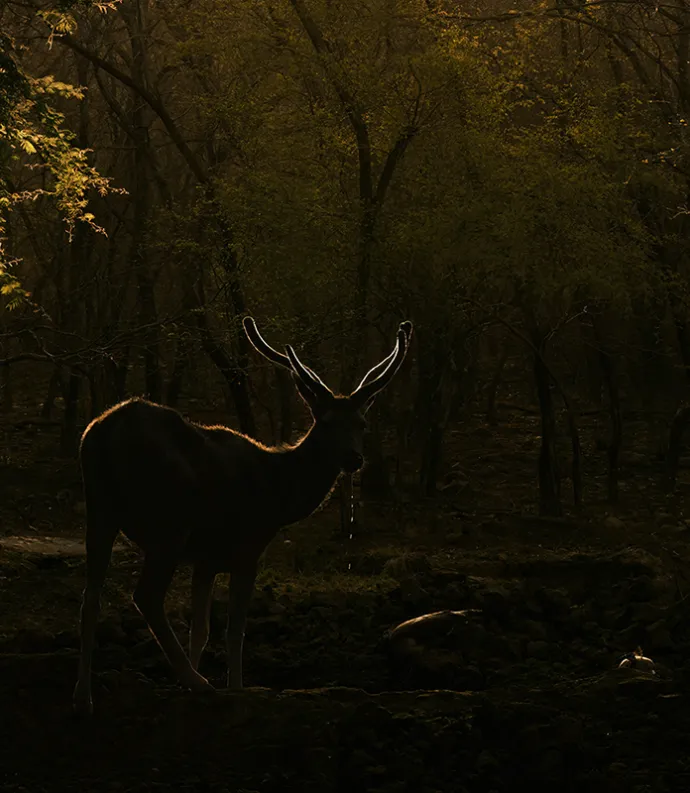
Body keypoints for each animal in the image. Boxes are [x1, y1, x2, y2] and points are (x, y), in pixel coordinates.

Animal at [72, 316, 413, 714]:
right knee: (146, 595)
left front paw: (187, 682)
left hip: (100, 510)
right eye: (326, 421)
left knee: (90, 596)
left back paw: (84, 695)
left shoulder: (205, 559)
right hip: (169, 524)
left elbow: (201, 631)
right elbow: (235, 630)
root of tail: (101, 434)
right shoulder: (248, 547)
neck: (280, 494)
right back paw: (198, 682)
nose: (353, 458)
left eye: (361, 424)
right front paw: (233, 687)